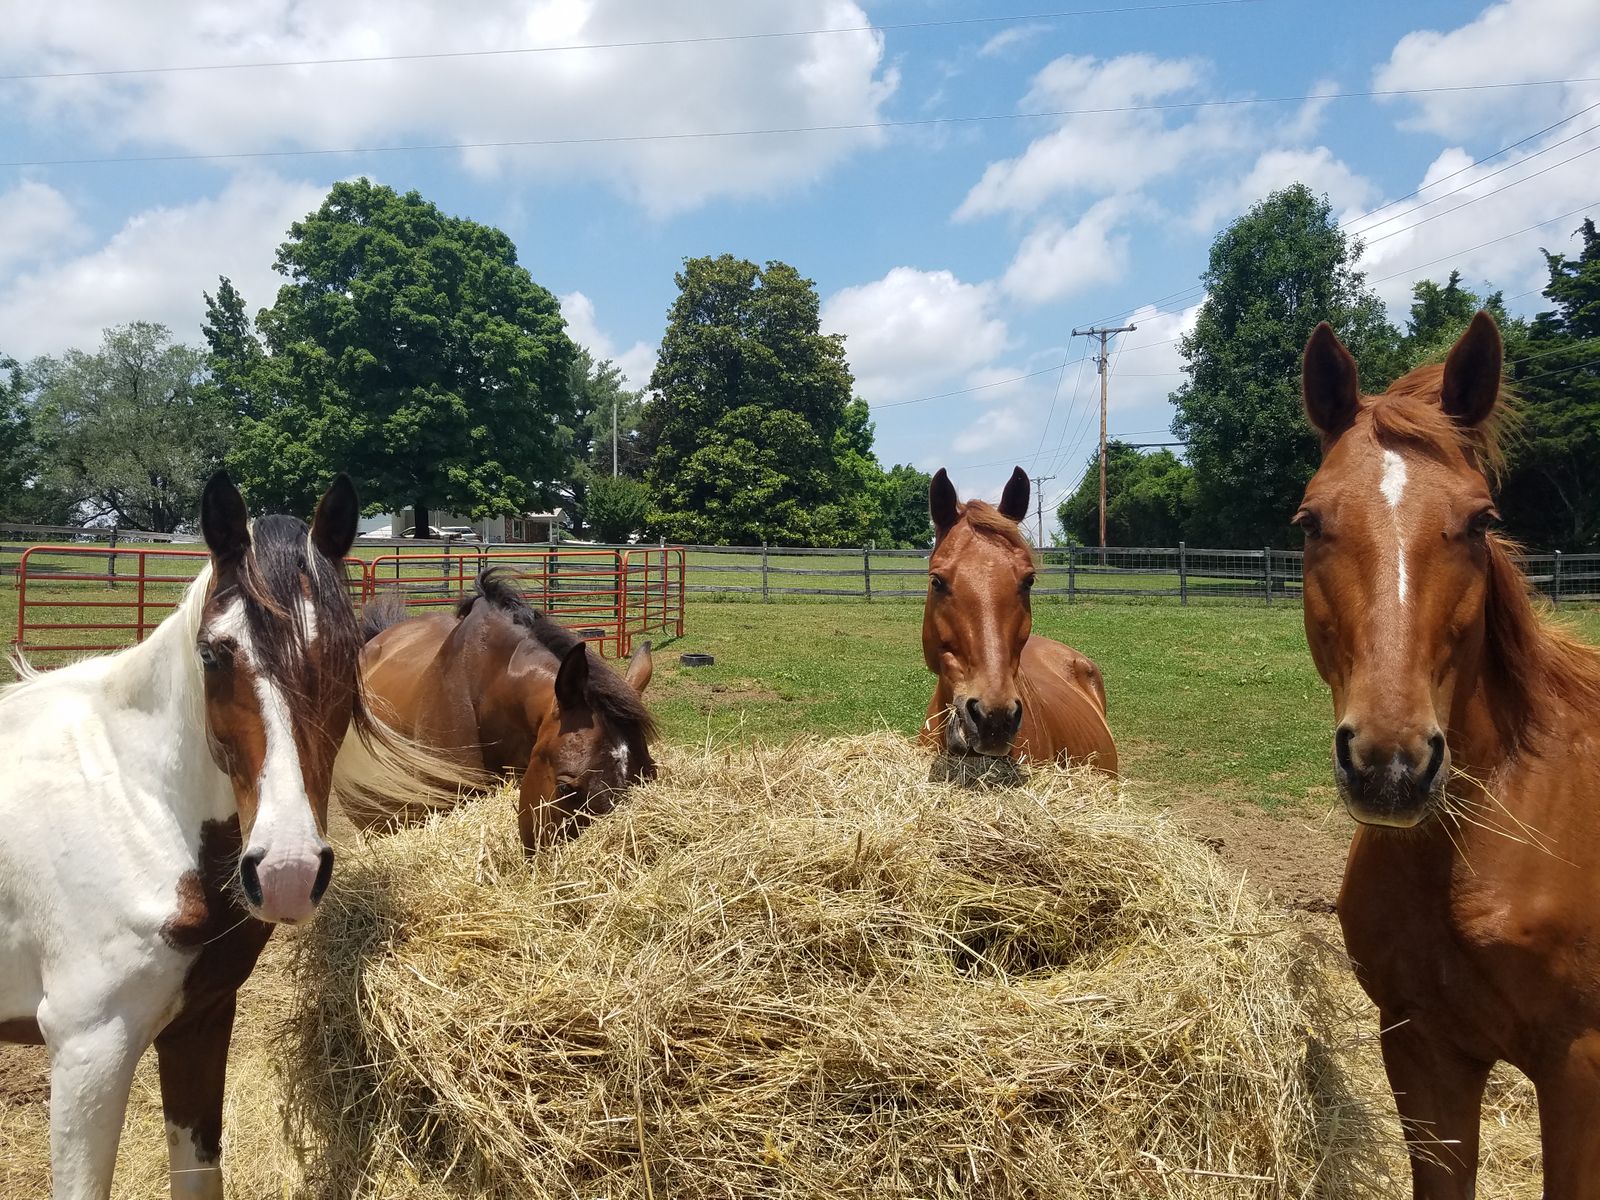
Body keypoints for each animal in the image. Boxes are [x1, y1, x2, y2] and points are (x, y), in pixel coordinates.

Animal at [0, 473, 443, 1199]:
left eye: (346, 655)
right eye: (212, 656)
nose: (288, 871)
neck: (133, 805)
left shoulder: (199, 1023)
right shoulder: (88, 1047)